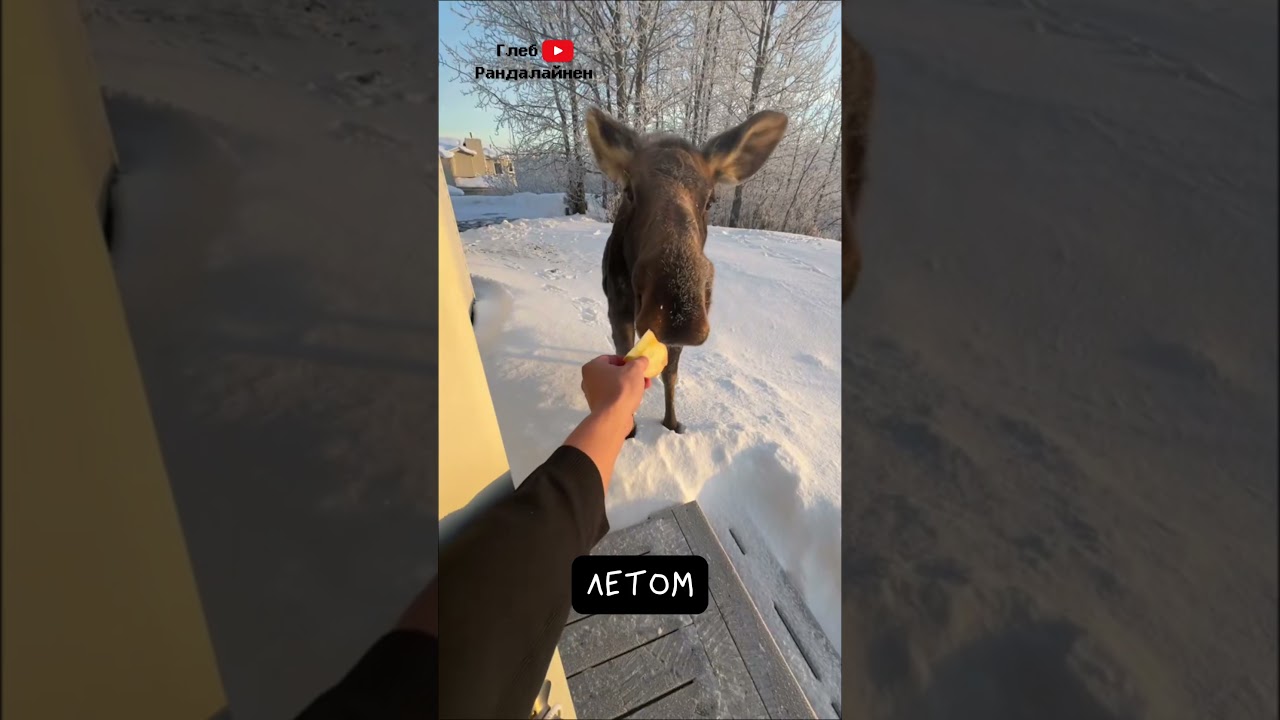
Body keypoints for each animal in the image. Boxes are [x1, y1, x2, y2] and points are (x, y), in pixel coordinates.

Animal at [586, 107, 788, 436]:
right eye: (629, 192)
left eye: (711, 199)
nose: (678, 312)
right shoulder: (618, 308)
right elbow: (624, 360)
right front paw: (628, 428)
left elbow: (671, 374)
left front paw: (671, 423)